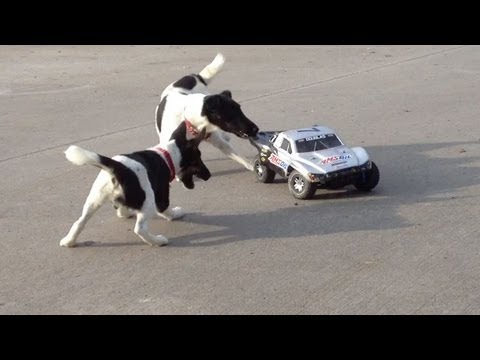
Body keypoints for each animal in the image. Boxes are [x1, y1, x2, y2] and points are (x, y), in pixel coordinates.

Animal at [60, 121, 210, 248]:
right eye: (198, 159)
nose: (208, 175)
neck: (166, 155)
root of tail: (118, 168)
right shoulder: (161, 196)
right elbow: (166, 210)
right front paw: (176, 213)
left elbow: (121, 209)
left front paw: (125, 212)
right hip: (148, 201)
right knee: (140, 229)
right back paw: (157, 241)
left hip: (94, 199)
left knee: (79, 222)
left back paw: (68, 241)